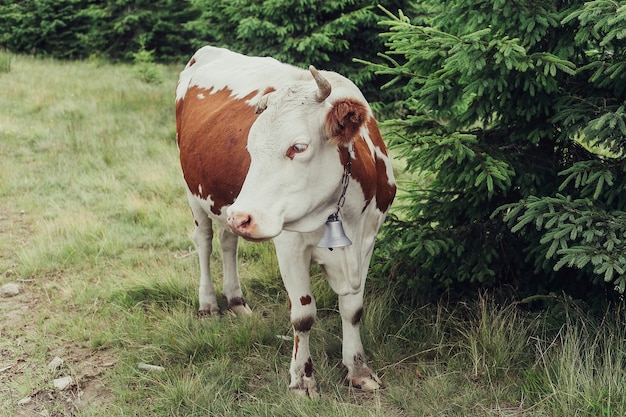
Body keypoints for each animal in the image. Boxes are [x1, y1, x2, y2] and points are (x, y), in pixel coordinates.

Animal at [173, 46, 392, 396]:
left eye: (298, 147)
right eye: (249, 146)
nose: (242, 216)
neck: (343, 213)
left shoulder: (367, 239)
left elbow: (353, 309)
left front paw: (358, 369)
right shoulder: (290, 245)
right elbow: (303, 315)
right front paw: (302, 378)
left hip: (224, 202)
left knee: (228, 242)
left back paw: (236, 300)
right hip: (195, 192)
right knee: (204, 243)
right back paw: (208, 303)